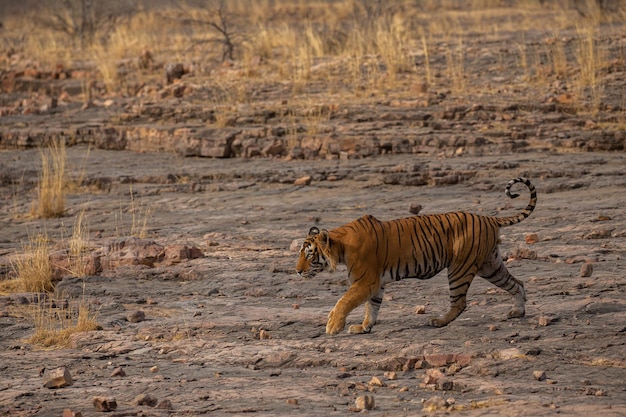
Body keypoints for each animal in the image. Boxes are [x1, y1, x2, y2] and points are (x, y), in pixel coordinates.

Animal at [294, 177, 532, 334]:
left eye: (309, 255)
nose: (296, 271)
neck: (341, 247)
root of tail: (489, 218)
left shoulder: (365, 281)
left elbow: (344, 301)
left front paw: (333, 326)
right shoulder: (376, 283)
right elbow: (372, 306)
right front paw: (364, 327)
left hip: (459, 268)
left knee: (460, 302)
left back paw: (438, 321)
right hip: (490, 265)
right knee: (517, 283)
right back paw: (518, 312)